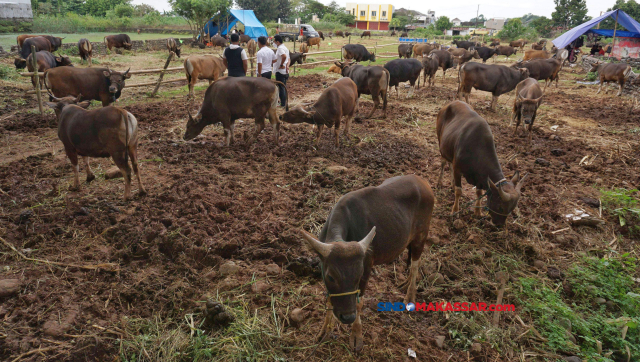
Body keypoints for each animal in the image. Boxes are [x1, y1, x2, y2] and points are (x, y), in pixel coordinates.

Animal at [302, 175, 436, 350]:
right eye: (331, 276)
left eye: (358, 275)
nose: (348, 317)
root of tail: (423, 182)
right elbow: (330, 299)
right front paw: (324, 331)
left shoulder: (367, 270)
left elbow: (359, 303)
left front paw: (356, 337)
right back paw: (405, 283)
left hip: (422, 234)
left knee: (415, 264)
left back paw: (410, 296)